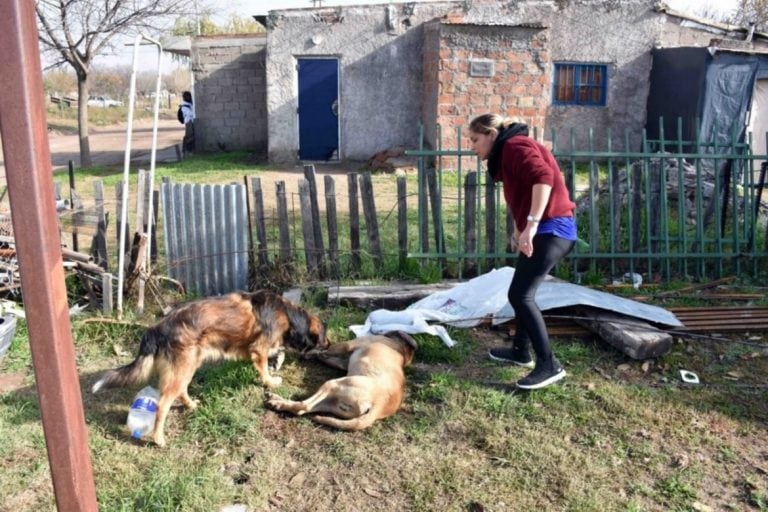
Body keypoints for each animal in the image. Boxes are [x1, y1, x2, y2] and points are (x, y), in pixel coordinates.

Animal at [92, 290, 328, 446]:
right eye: (324, 337)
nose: (329, 345)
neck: (288, 315)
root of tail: (156, 329)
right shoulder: (258, 349)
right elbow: (264, 369)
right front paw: (271, 381)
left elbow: (276, 355)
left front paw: (276, 364)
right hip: (184, 366)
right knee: (163, 403)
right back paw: (159, 438)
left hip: (188, 365)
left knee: (180, 391)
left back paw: (191, 406)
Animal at [266, 332, 420, 432]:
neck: (402, 350)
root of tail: (380, 406)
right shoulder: (342, 362)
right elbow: (324, 356)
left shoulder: (347, 345)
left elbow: (325, 351)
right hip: (334, 403)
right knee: (305, 409)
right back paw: (278, 401)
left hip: (333, 384)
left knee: (303, 406)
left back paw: (277, 401)